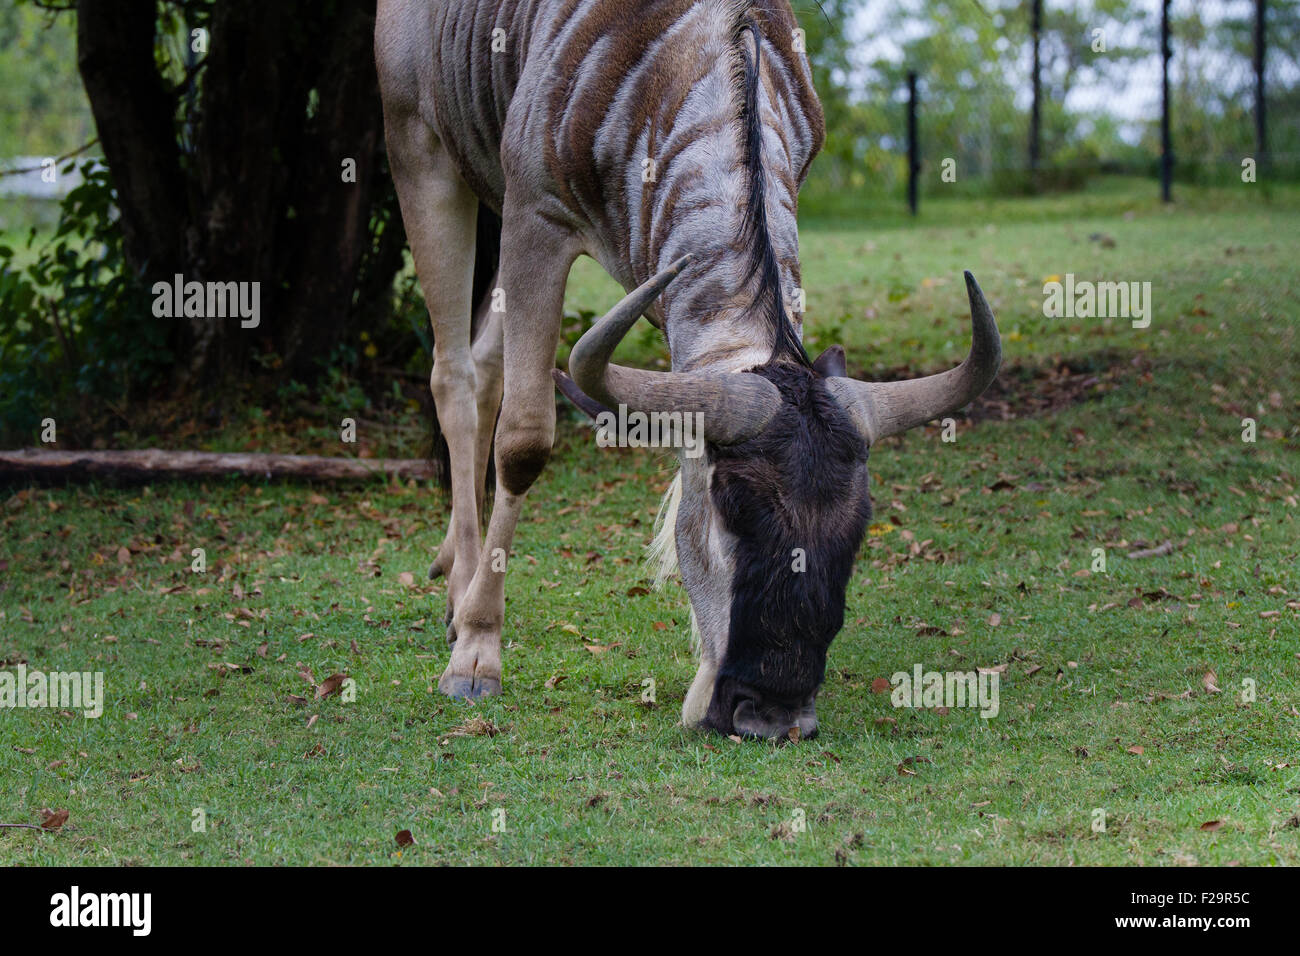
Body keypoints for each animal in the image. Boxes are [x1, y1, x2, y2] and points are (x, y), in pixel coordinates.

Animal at [375, 0, 1001, 739]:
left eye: (857, 529)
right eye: (732, 511)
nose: (771, 711)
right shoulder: (535, 221)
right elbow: (525, 441)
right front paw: (476, 653)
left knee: (484, 366)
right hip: (425, 156)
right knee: (455, 377)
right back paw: (460, 589)